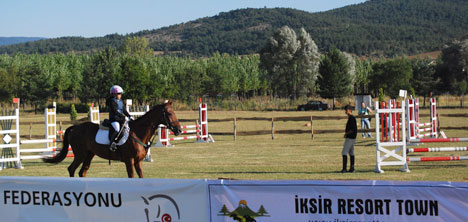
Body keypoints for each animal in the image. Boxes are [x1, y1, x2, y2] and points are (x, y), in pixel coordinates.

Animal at [43, 100, 181, 179]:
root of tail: (74, 128)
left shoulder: (138, 162)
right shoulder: (129, 161)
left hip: (89, 155)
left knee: (82, 172)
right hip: (80, 155)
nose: (179, 130)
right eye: (169, 113)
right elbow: (131, 176)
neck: (138, 133)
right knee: (71, 169)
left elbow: (141, 176)